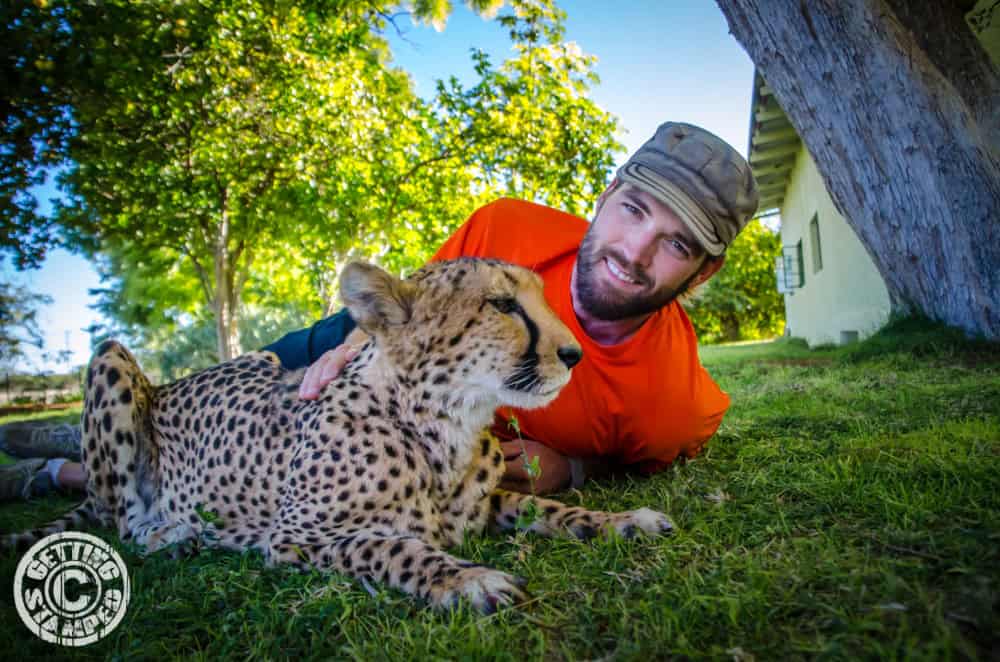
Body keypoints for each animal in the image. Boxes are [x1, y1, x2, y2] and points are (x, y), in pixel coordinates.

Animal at [5, 258, 672, 612]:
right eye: (502, 305)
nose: (573, 353)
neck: (439, 422)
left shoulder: (484, 506)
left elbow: (547, 507)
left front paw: (621, 521)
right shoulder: (294, 537)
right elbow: (392, 546)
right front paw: (466, 577)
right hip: (111, 359)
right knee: (122, 520)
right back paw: (168, 533)